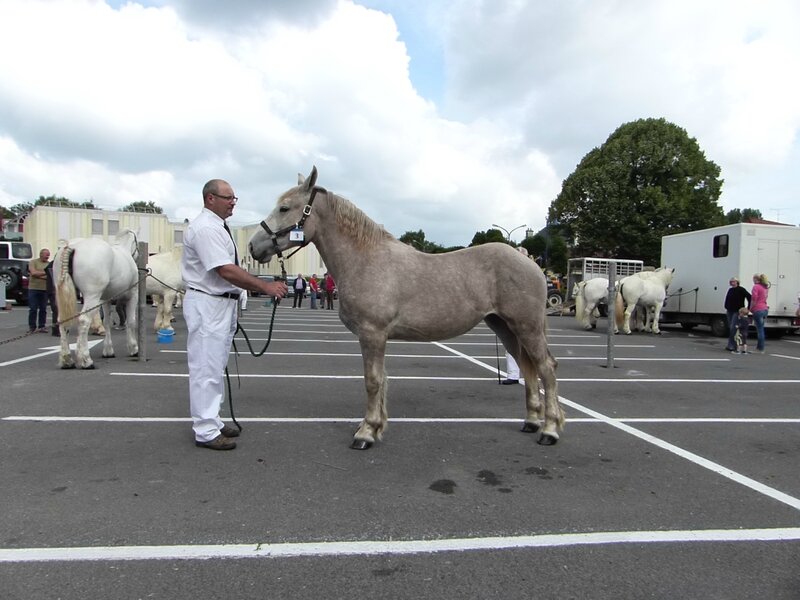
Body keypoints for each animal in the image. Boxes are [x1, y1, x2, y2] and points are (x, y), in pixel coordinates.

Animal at [54, 231, 140, 368]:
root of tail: (72, 247)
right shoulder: (133, 295)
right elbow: (131, 321)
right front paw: (133, 349)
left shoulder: (105, 300)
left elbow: (107, 322)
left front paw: (108, 351)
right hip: (91, 296)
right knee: (84, 321)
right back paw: (86, 360)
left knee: (63, 322)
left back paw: (67, 360)